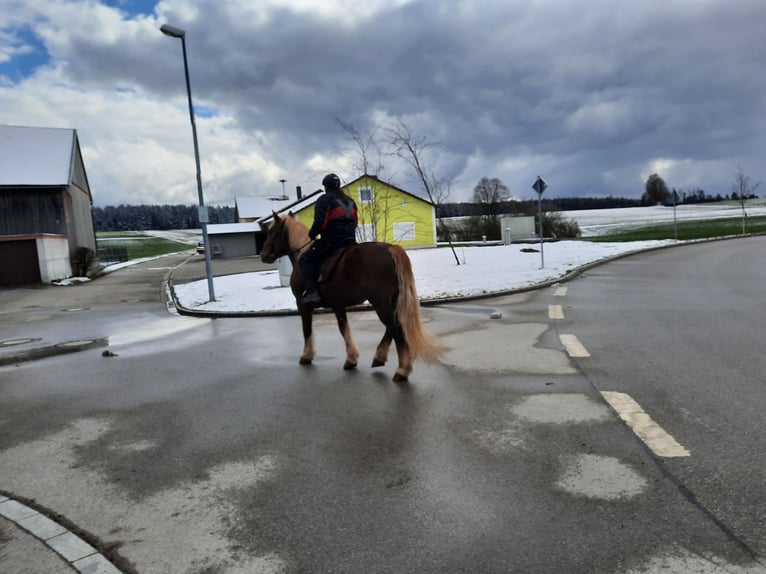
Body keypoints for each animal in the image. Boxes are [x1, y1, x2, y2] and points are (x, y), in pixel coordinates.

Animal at [260, 212, 444, 382]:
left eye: (272, 232)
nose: (263, 254)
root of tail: (391, 248)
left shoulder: (302, 304)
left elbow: (307, 330)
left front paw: (306, 355)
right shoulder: (338, 305)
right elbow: (344, 330)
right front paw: (351, 358)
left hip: (380, 303)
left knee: (396, 328)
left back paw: (402, 370)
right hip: (391, 302)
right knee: (392, 328)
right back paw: (380, 357)